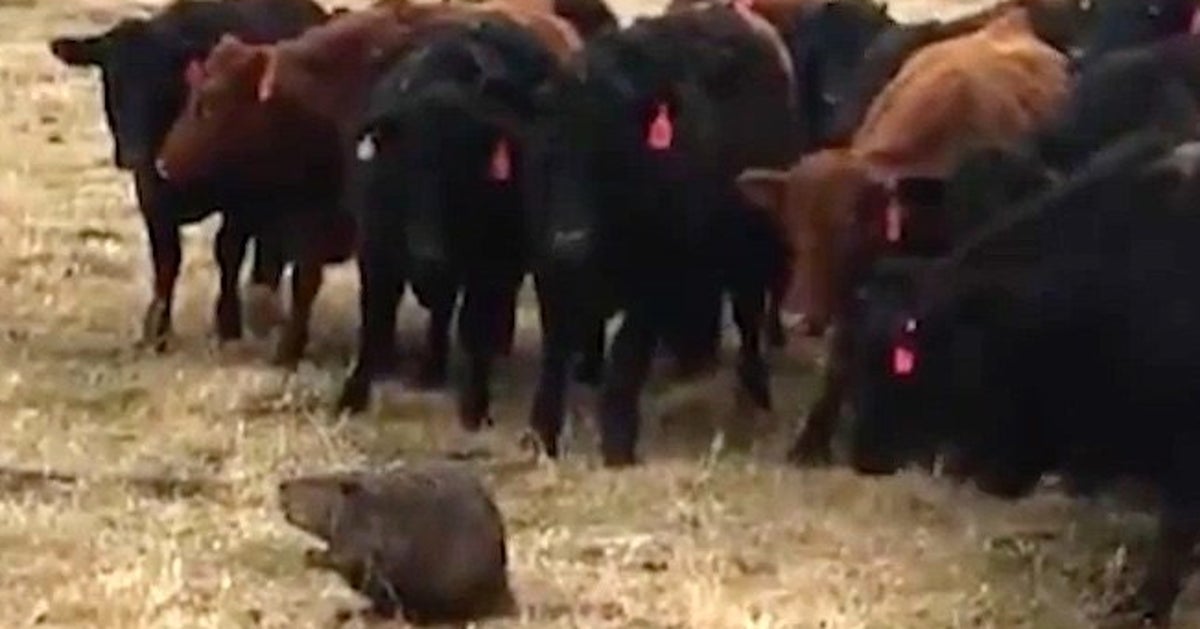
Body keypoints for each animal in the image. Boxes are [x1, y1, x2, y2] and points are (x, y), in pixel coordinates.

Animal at [47, 0, 328, 351]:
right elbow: (167, 259)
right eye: (110, 80)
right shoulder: (152, 195)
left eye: (159, 80)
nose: (131, 154)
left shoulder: (240, 200)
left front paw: (228, 324)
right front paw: (157, 330)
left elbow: (228, 252)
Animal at [523, 3, 799, 465]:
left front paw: (618, 445)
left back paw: (754, 397)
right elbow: (554, 355)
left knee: (750, 320)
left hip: (754, 249)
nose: (571, 241)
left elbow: (626, 360)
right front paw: (541, 436)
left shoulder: (653, 284)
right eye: (546, 151)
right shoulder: (553, 276)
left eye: (611, 151)